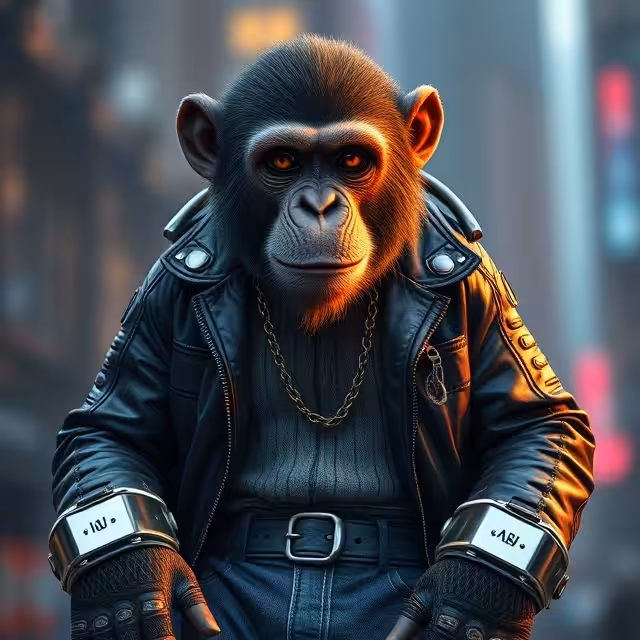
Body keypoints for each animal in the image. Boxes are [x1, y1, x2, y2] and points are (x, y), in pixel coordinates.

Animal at [50, 35, 594, 640]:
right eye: (283, 162)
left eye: (351, 161)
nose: (319, 205)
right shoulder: (159, 291)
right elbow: (111, 430)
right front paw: (128, 576)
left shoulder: (480, 285)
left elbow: (538, 423)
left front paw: (476, 591)